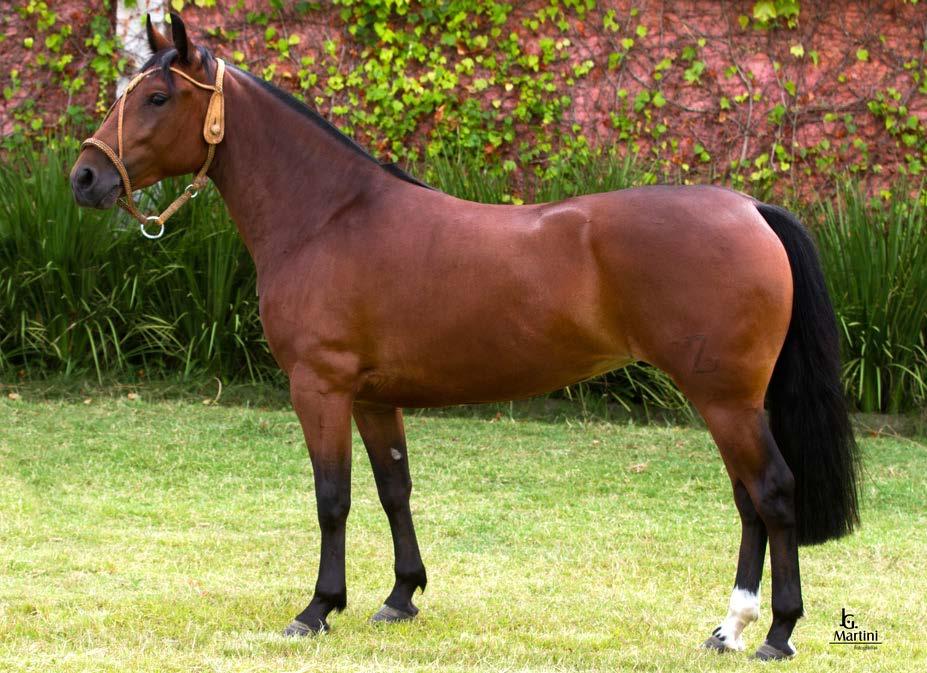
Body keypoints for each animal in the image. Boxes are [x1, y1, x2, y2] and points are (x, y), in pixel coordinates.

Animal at [72, 13, 864, 660]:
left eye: (157, 97)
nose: (84, 177)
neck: (328, 215)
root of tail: (750, 208)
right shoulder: (372, 396)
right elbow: (394, 488)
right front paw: (400, 596)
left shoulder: (318, 387)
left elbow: (333, 498)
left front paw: (317, 609)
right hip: (729, 401)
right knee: (747, 500)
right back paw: (727, 629)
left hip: (725, 399)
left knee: (772, 492)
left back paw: (776, 633)